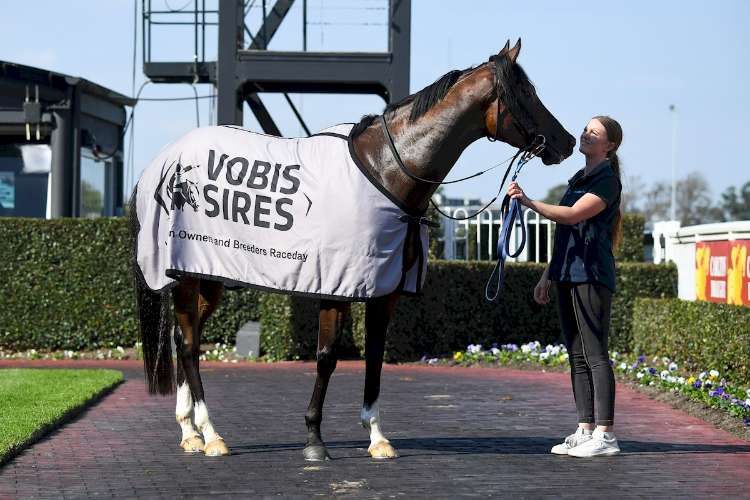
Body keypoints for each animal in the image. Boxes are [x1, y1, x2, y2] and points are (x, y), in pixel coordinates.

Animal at [128, 39, 575, 460]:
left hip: (209, 278)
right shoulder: (334, 285)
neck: (386, 171)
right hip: (187, 275)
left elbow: (374, 356)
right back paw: (212, 435)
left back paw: (190, 432)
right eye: (526, 93)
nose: (567, 141)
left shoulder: (384, 290)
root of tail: (158, 164)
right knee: (189, 346)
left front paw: (377, 438)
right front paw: (314, 439)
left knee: (183, 339)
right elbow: (327, 356)